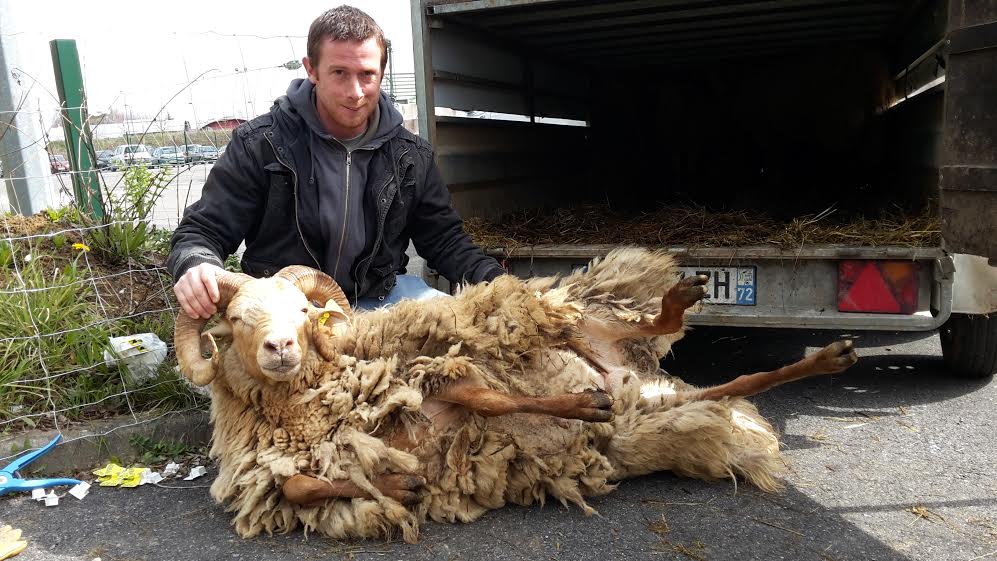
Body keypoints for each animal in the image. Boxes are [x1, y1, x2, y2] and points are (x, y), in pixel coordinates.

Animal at [173, 247, 856, 540]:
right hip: (648, 410)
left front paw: (579, 405)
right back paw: (828, 357)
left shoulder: (440, 372)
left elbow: (491, 401)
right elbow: (298, 485)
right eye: (236, 320)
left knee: (648, 327)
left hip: (582, 323)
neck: (313, 407)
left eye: (302, 311)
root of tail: (633, 376)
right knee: (736, 384)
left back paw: (678, 304)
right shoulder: (299, 466)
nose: (281, 349)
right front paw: (399, 483)